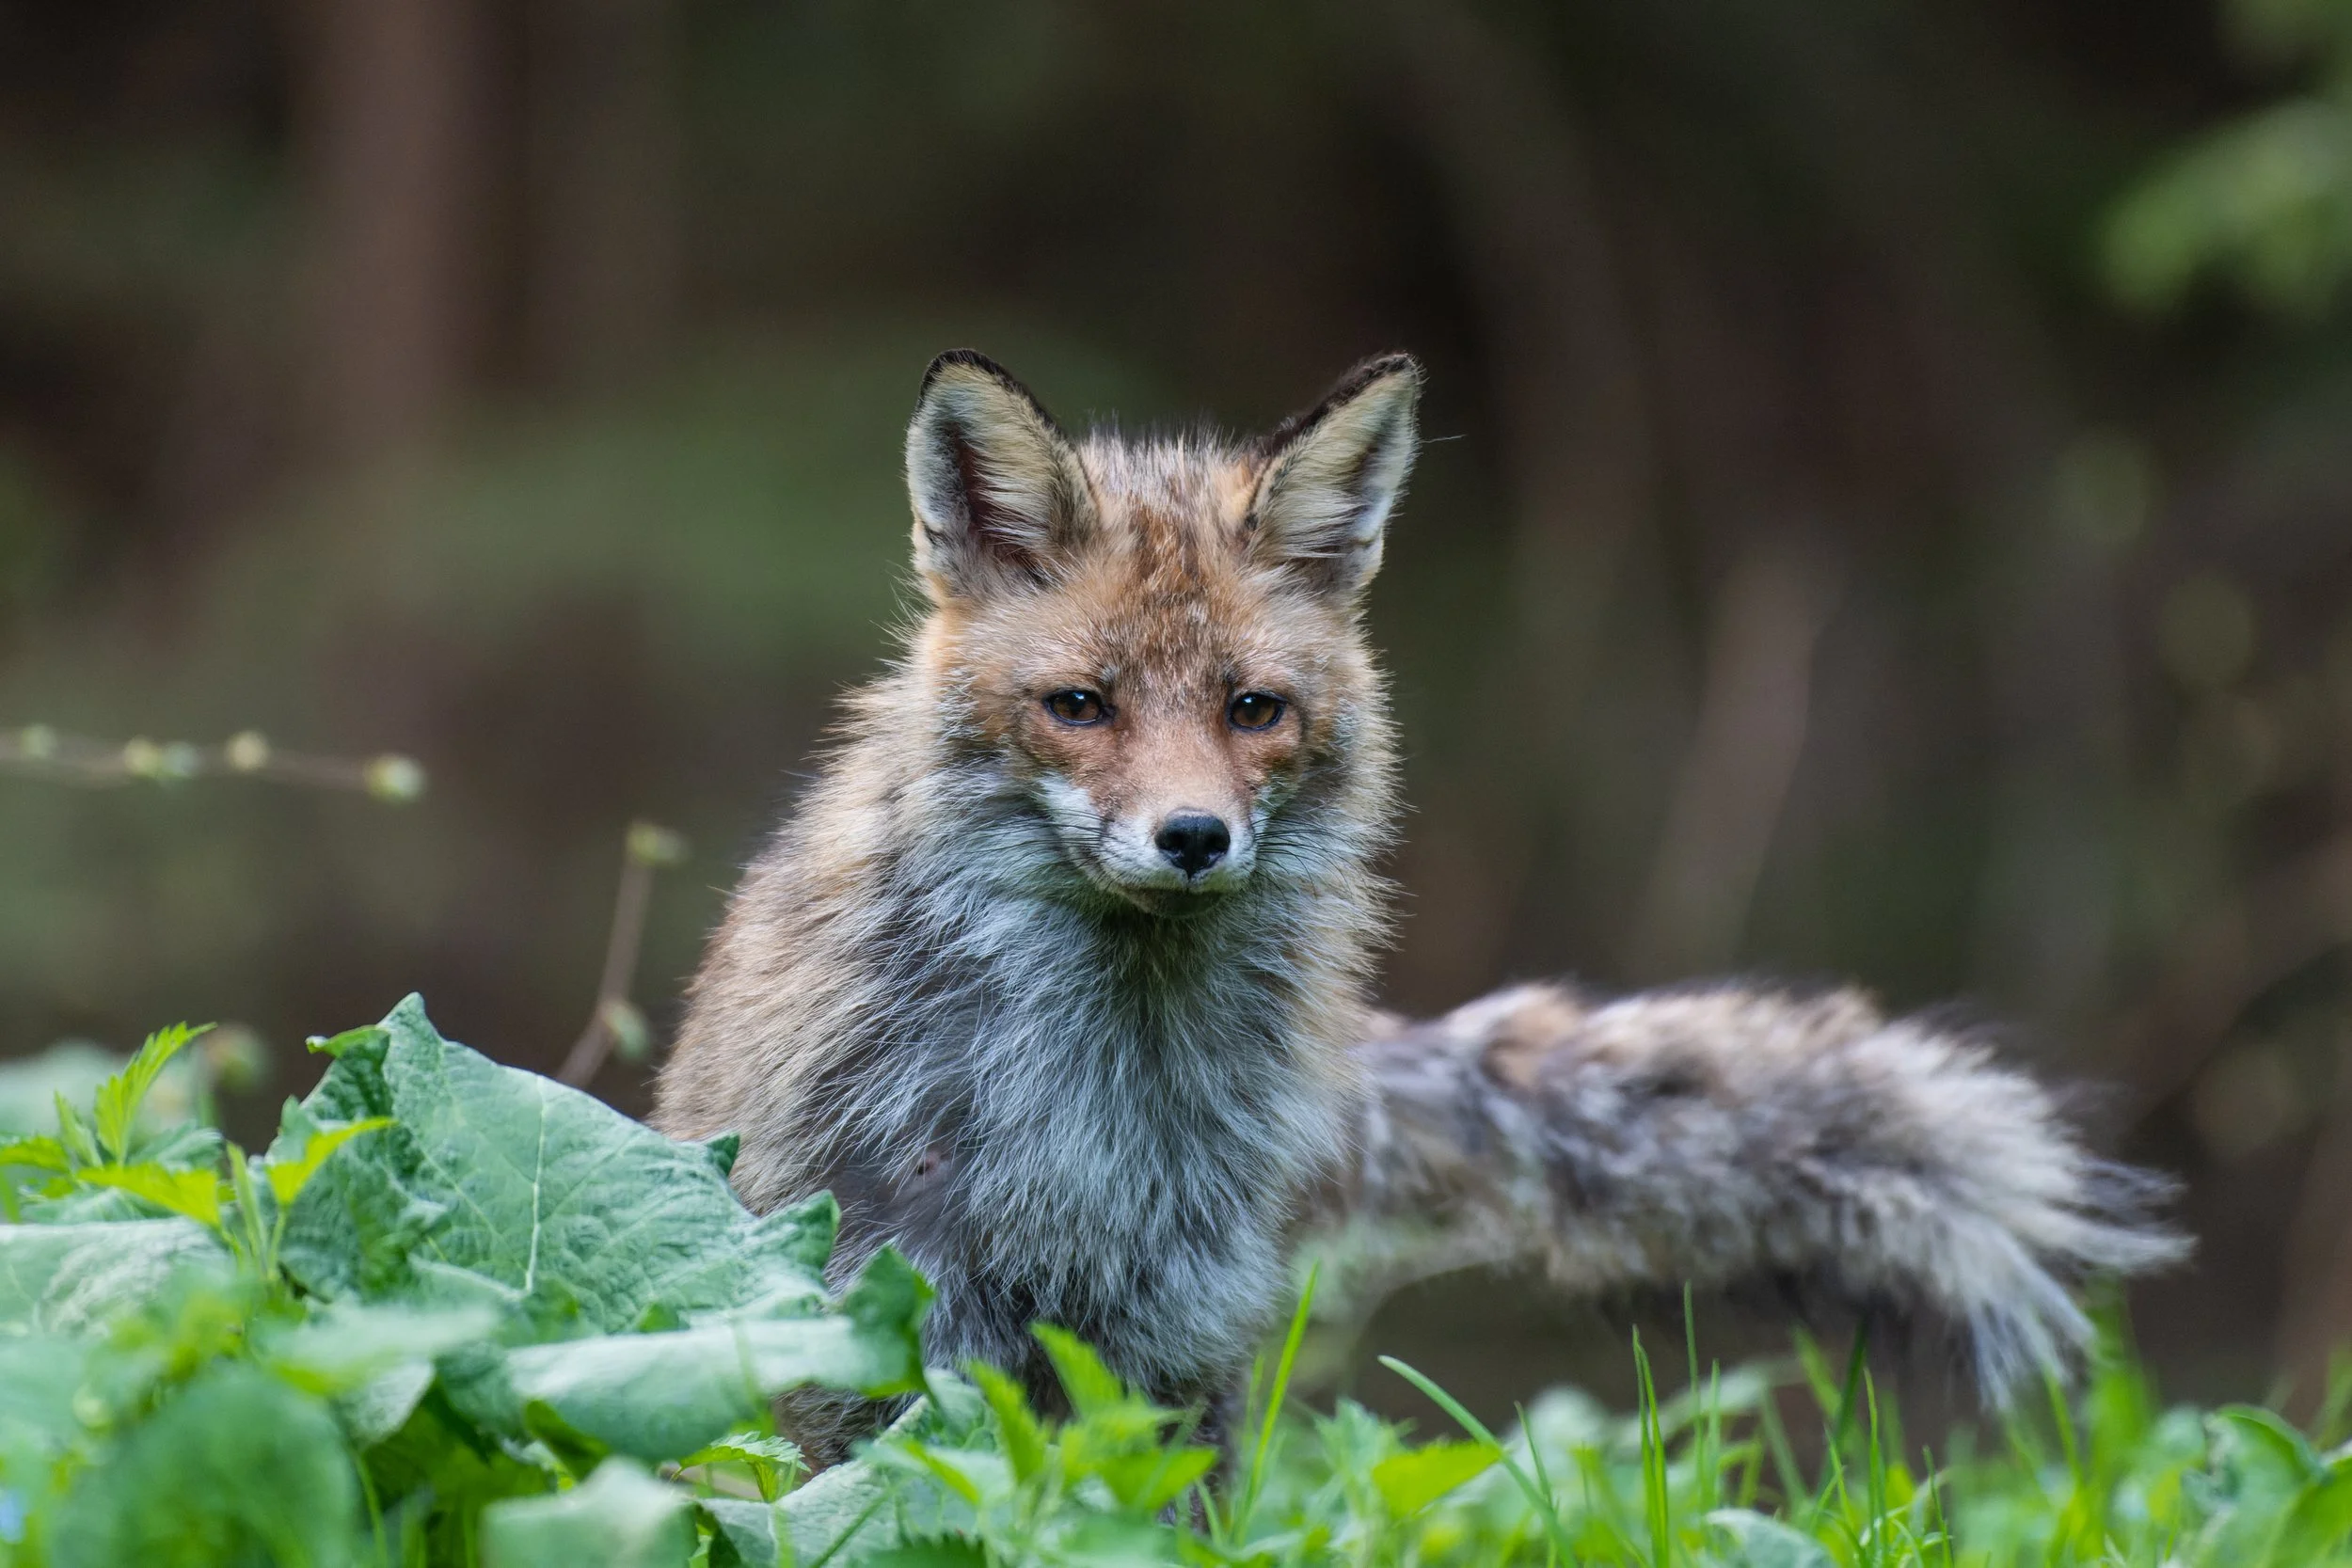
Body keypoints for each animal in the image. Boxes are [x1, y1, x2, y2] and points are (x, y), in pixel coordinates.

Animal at [652, 349, 2184, 1459]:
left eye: (1254, 709)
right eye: (1079, 706)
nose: (1192, 836)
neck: (1093, 1093)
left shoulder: (1170, 1336)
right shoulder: (867, 1307)